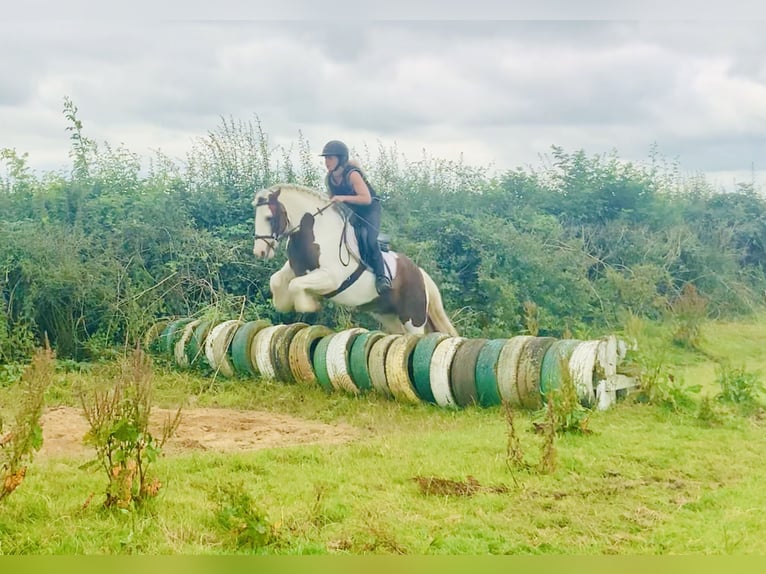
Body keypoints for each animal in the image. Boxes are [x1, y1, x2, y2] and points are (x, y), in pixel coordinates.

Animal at [252, 184, 460, 338]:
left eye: (269, 218)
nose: (259, 252)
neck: (315, 232)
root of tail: (420, 273)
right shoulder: (295, 269)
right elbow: (277, 280)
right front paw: (283, 304)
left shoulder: (330, 278)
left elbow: (295, 285)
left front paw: (309, 305)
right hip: (388, 315)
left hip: (413, 318)